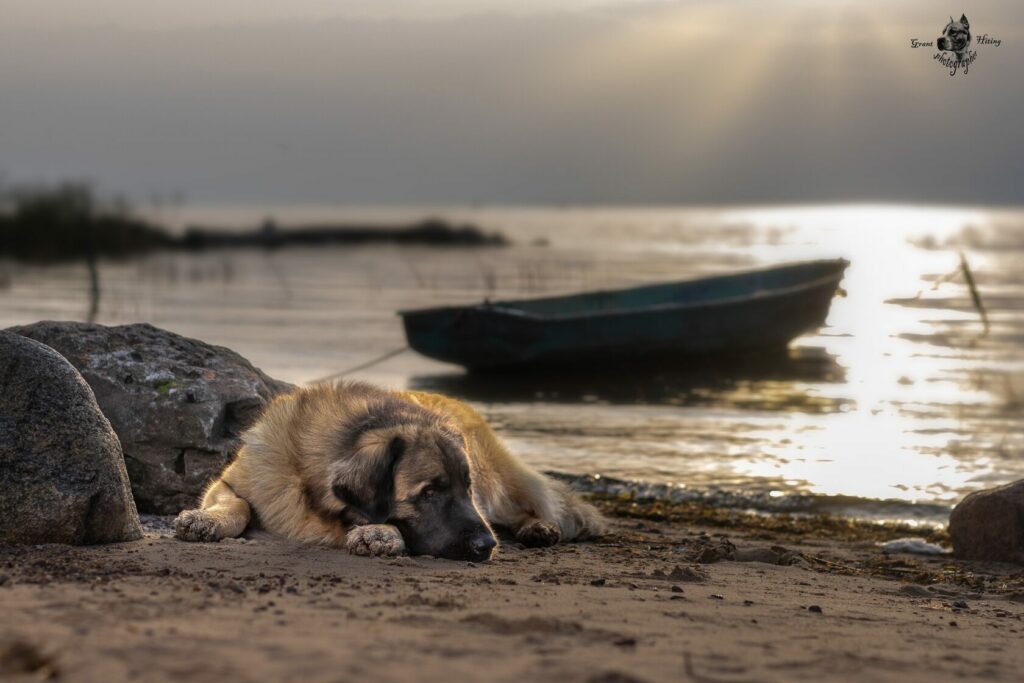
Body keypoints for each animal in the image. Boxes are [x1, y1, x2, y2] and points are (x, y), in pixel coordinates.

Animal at [174, 378, 606, 561]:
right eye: (429, 493)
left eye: (465, 490)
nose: (487, 547)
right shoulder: (231, 481)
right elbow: (238, 504)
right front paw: (207, 520)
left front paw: (380, 533)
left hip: (497, 487)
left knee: (526, 507)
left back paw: (538, 527)